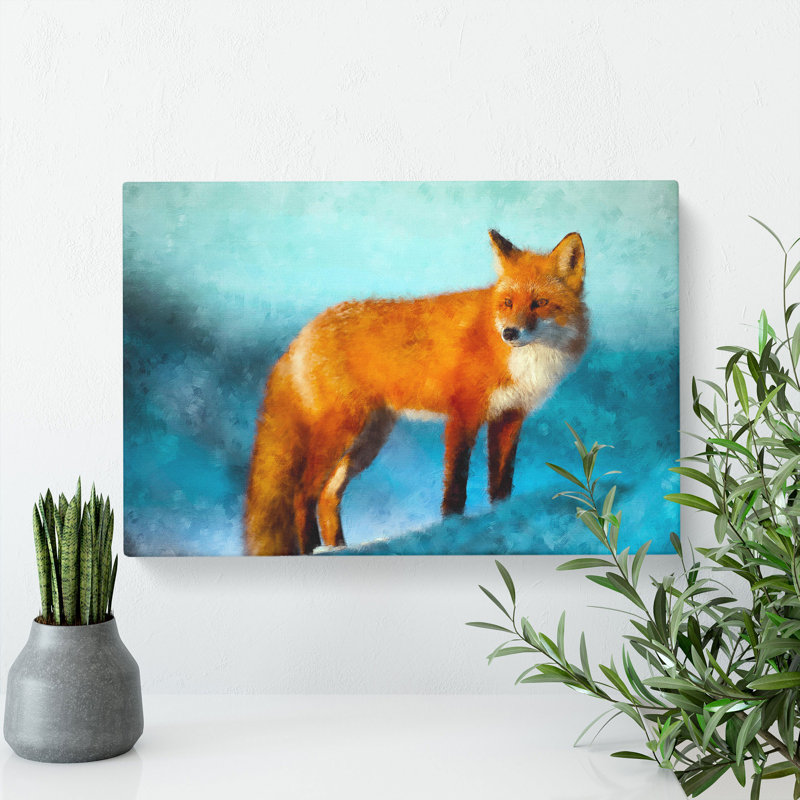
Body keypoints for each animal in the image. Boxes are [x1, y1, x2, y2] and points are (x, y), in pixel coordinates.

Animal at [244, 229, 588, 555]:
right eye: (507, 303)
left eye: (540, 303)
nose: (510, 333)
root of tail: (303, 333)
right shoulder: (463, 415)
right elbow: (456, 486)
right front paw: (451, 530)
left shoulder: (509, 417)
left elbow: (501, 484)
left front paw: (501, 520)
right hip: (341, 432)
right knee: (302, 495)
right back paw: (314, 550)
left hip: (369, 440)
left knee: (328, 496)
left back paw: (338, 549)